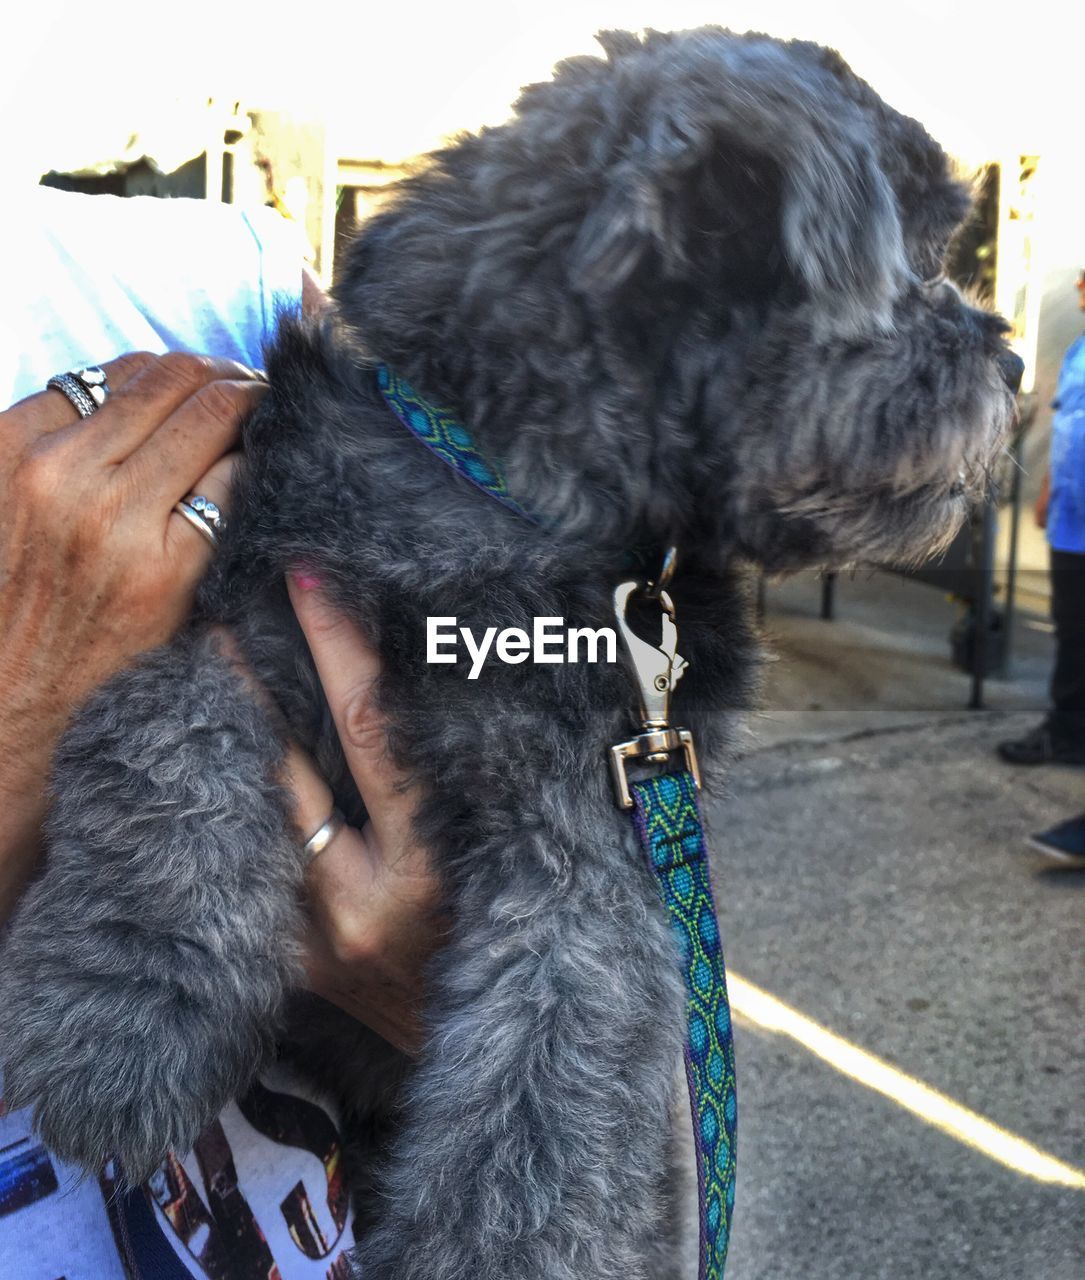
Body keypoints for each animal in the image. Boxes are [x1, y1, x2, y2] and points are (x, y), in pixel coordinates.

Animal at [0, 30, 1023, 1280]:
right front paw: (123, 1009)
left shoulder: (585, 844)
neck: (521, 514)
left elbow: (545, 1088)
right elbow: (161, 746)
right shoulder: (244, 629)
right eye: (915, 264)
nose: (1010, 368)